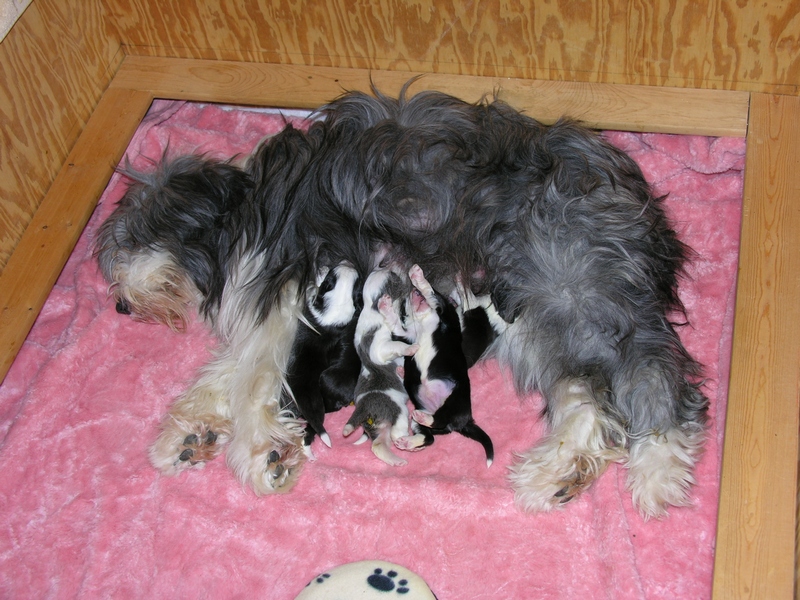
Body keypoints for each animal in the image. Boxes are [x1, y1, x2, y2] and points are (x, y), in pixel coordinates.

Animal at [343, 267, 418, 466]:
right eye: (394, 277)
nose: (398, 268)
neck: (371, 306)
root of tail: (362, 407)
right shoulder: (380, 346)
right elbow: (398, 344)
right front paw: (411, 348)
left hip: (378, 429)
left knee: (378, 445)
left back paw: (396, 461)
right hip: (397, 410)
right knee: (396, 432)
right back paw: (405, 441)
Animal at [394, 265, 494, 467]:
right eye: (406, 302)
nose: (414, 291)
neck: (424, 320)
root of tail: (465, 421)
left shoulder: (444, 311)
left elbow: (432, 293)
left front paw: (417, 277)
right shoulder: (408, 335)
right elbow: (399, 328)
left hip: (454, 398)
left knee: (439, 420)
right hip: (425, 416)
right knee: (429, 436)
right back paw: (409, 441)